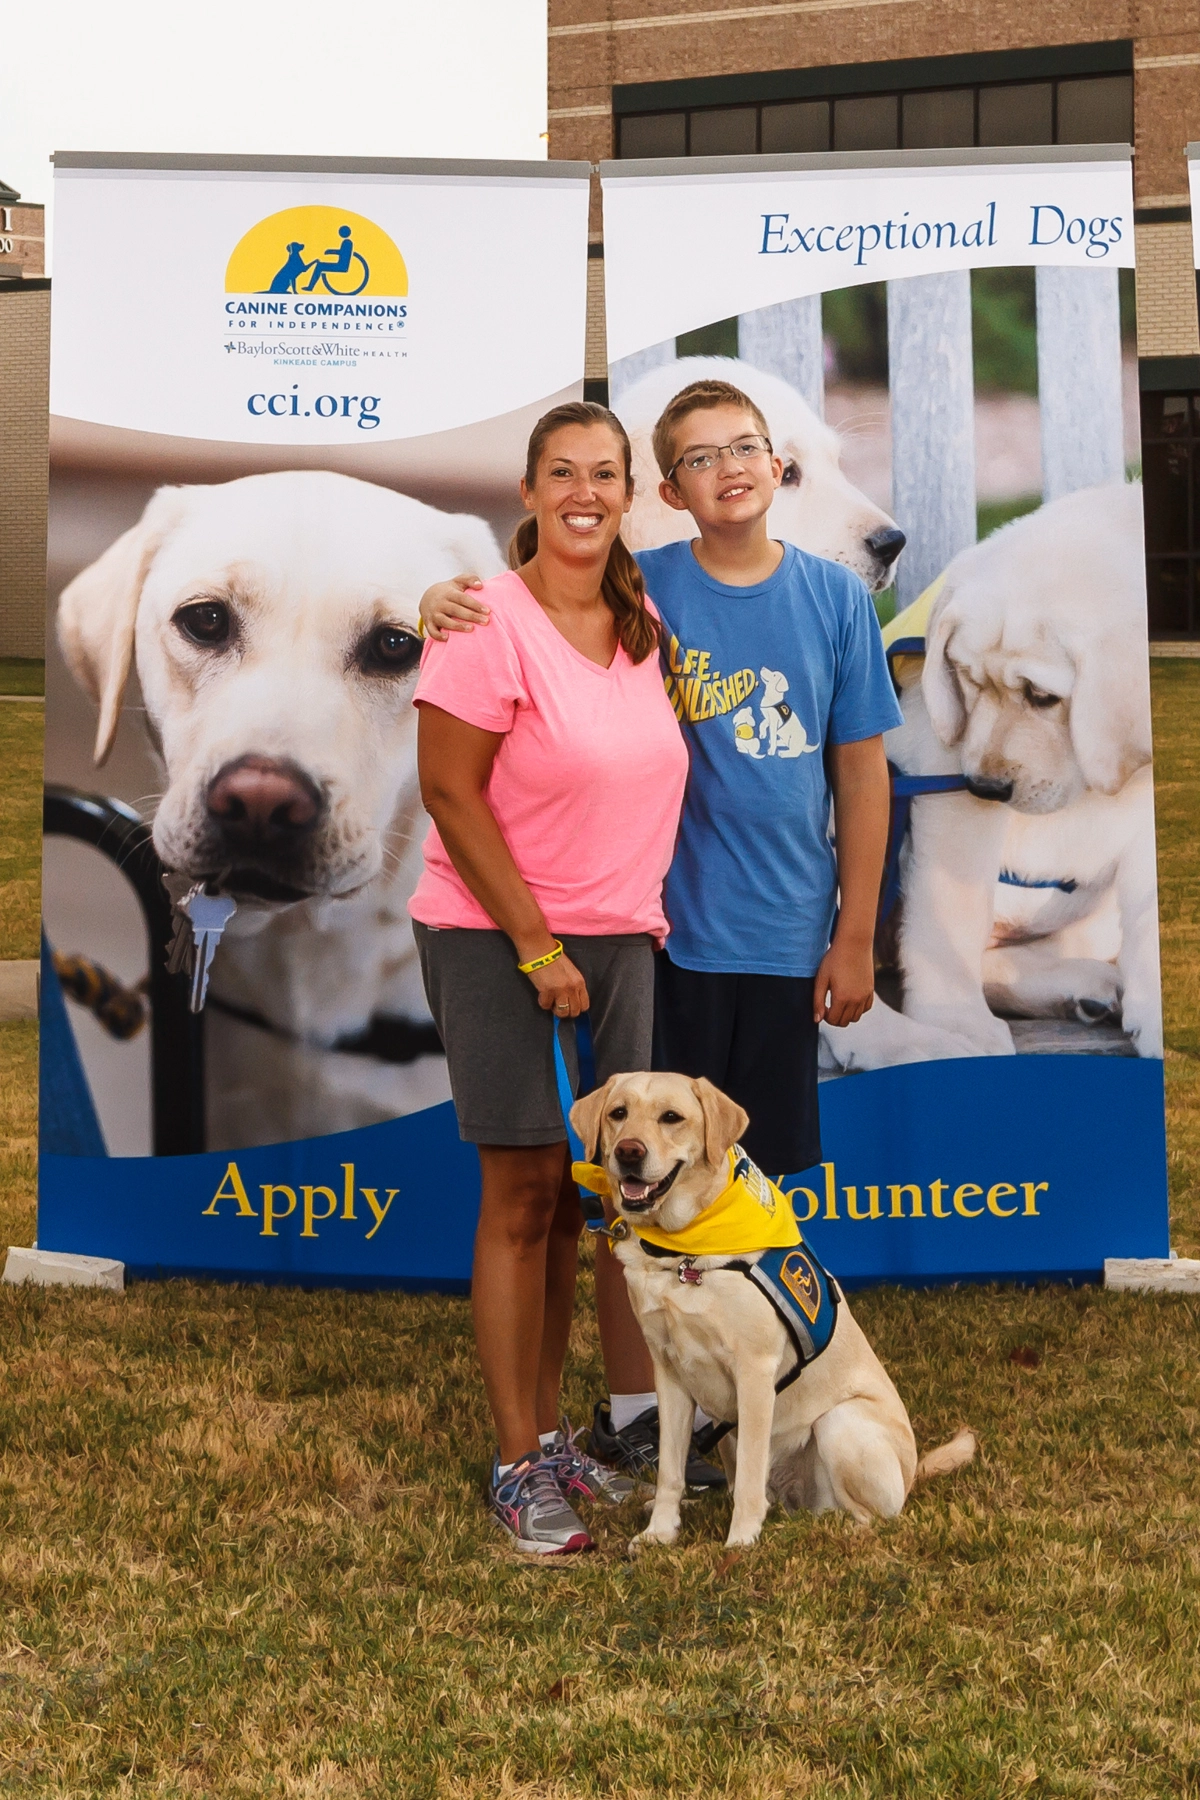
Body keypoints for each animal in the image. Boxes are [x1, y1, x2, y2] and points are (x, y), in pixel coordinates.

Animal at [572, 1065, 978, 1548]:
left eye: (671, 1117)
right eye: (618, 1113)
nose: (628, 1151)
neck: (684, 1253)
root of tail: (913, 1473)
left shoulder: (754, 1371)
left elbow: (750, 1472)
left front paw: (740, 1542)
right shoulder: (669, 1372)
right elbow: (671, 1470)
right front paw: (661, 1532)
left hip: (840, 1422)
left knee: (870, 1516)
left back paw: (830, 1527)